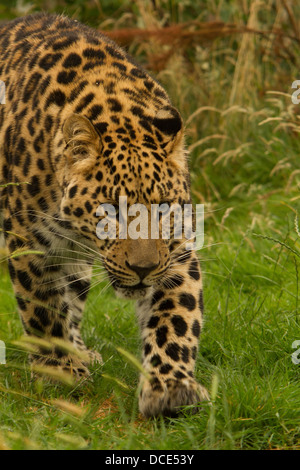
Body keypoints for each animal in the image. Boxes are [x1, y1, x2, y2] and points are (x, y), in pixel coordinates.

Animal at [0, 12, 210, 416]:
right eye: (110, 209)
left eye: (163, 207)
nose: (143, 269)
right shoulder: (28, 243)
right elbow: (43, 309)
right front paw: (59, 372)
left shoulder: (177, 250)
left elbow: (176, 317)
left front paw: (171, 387)